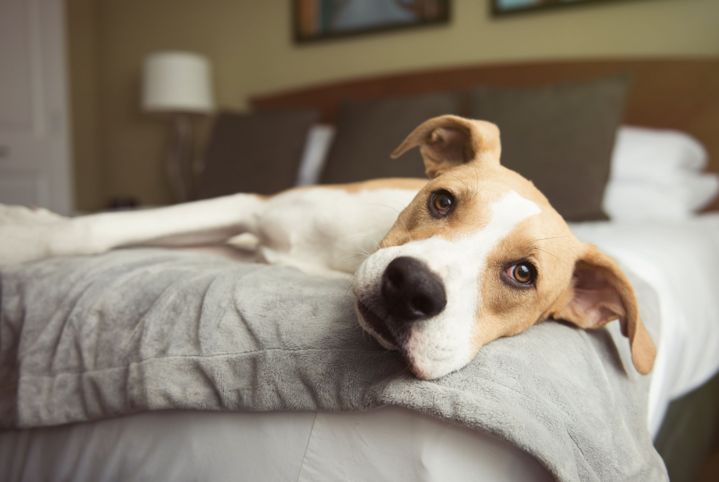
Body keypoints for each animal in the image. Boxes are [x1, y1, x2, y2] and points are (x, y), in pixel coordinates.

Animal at [0, 114, 656, 380]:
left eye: (523, 273)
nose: (412, 288)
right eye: (442, 201)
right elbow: (93, 229)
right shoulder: (251, 207)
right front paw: (22, 235)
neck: (342, 257)